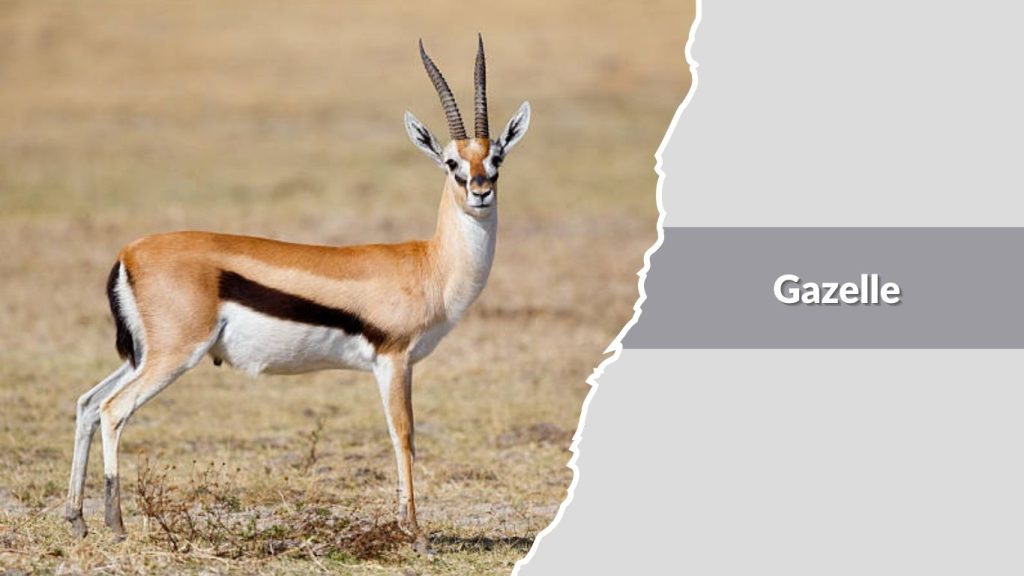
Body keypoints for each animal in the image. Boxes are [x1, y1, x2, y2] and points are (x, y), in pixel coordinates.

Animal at [64, 35, 530, 549]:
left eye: (496, 158)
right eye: (451, 162)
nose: (481, 191)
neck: (429, 263)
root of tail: (128, 252)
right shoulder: (394, 361)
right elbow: (403, 436)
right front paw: (415, 533)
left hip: (142, 355)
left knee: (87, 403)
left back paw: (76, 517)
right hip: (172, 355)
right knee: (113, 409)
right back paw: (115, 524)